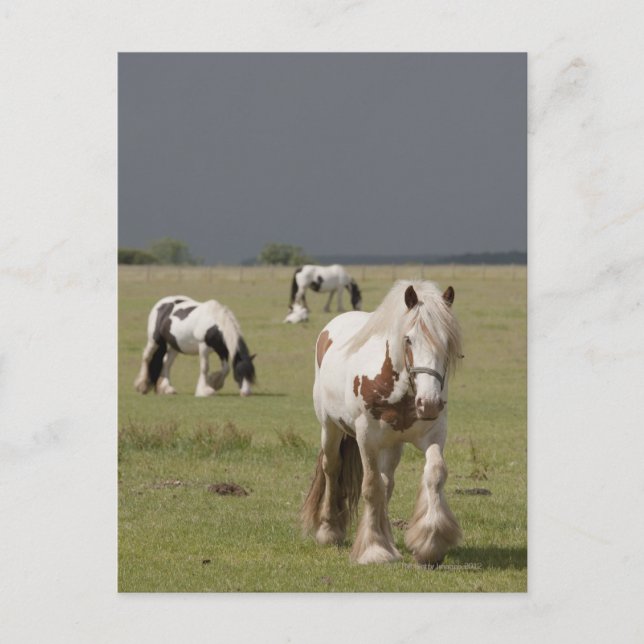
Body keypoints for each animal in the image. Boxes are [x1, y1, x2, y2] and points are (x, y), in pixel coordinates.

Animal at [301, 280, 463, 566]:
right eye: (408, 339)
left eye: (447, 341)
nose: (430, 403)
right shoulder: (366, 438)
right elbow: (371, 486)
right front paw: (374, 549)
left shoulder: (433, 433)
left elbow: (434, 474)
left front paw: (431, 542)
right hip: (330, 428)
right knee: (332, 468)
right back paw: (329, 530)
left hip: (393, 445)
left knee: (387, 483)